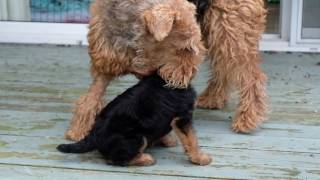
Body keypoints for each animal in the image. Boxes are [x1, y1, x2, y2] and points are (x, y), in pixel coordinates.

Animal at [57, 73, 212, 166]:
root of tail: (93, 135)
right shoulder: (183, 117)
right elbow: (192, 138)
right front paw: (200, 158)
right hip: (137, 138)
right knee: (115, 159)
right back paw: (145, 158)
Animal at [191, 0, 268, 132]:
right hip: (218, 33)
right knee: (222, 71)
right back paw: (212, 99)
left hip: (229, 32)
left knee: (251, 78)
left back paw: (246, 118)